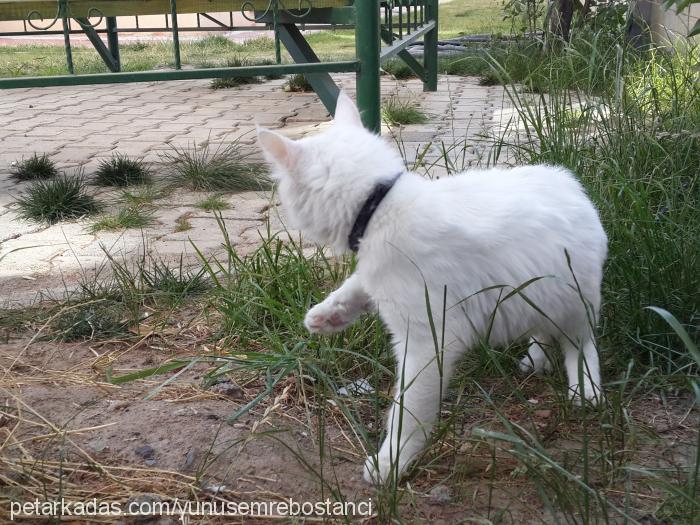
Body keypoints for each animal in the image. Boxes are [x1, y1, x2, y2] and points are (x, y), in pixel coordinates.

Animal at [258, 92, 608, 486]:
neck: (380, 205)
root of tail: (570, 182)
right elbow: (356, 285)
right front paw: (327, 315)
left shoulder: (429, 341)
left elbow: (408, 412)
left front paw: (391, 461)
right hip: (535, 294)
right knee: (542, 331)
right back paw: (536, 359)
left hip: (575, 303)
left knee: (581, 346)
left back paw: (585, 389)